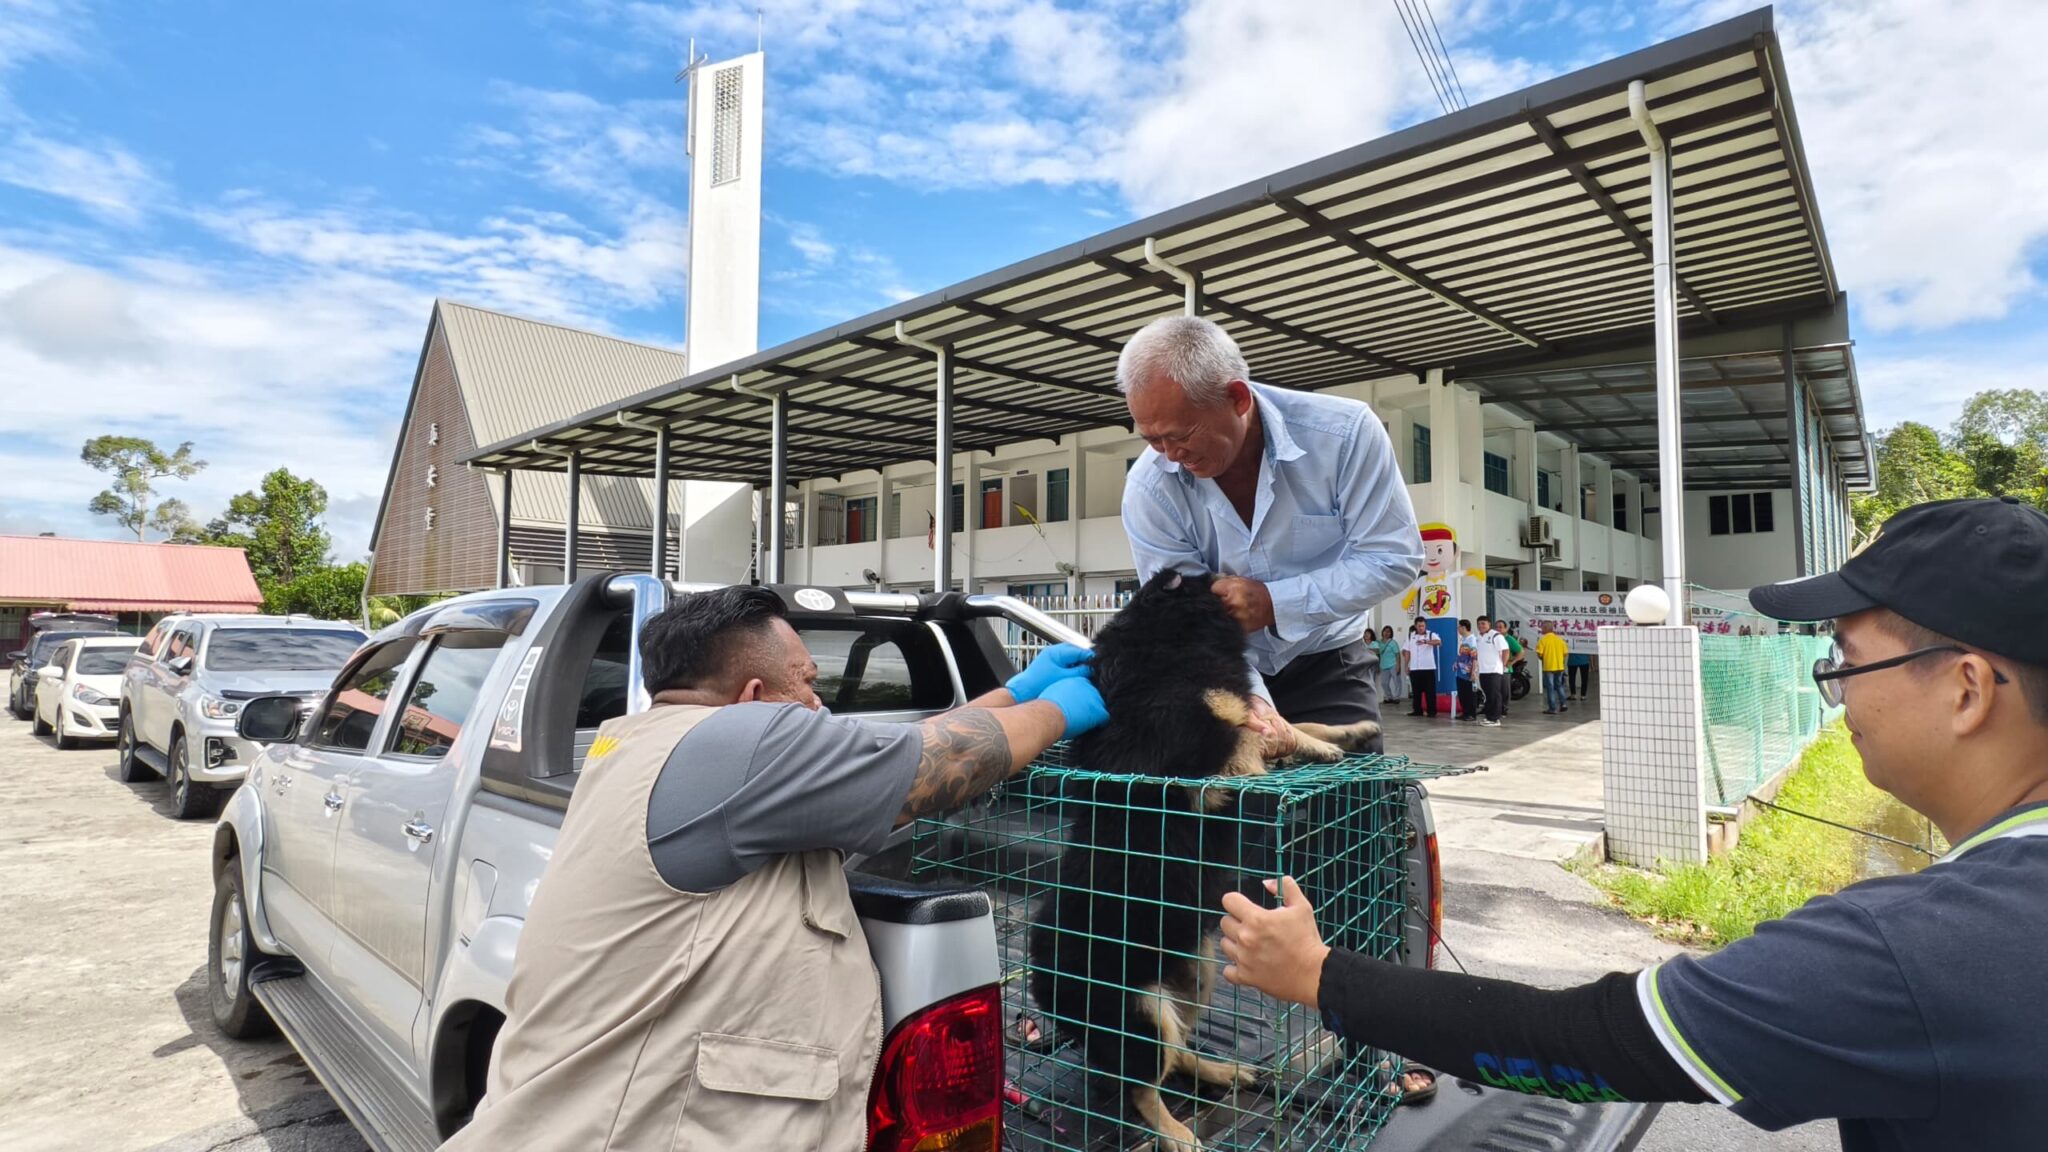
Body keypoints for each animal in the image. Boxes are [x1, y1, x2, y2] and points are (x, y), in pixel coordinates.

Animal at [1025, 570, 1378, 1152]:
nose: (1243, 578)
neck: (1164, 641)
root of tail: (1042, 985)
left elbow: (1291, 721)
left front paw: (1344, 734)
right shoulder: (1204, 768)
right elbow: (1259, 738)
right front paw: (1320, 748)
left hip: (1197, 971)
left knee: (1176, 1057)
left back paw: (1224, 1072)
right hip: (1141, 1011)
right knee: (1140, 1088)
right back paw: (1176, 1132)